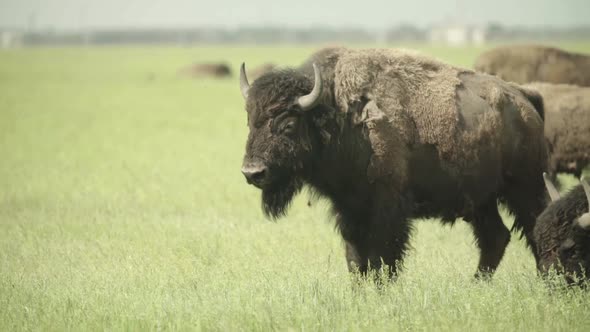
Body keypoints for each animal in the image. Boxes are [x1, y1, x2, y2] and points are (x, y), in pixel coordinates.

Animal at [238, 47, 548, 280]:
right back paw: (475, 285)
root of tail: (522, 97)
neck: (337, 115)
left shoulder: (388, 209)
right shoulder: (350, 210)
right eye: (250, 122)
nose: (253, 172)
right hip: (480, 200)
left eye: (288, 124)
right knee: (495, 237)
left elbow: (383, 258)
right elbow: (356, 260)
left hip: (524, 187)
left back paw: (549, 284)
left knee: (535, 227)